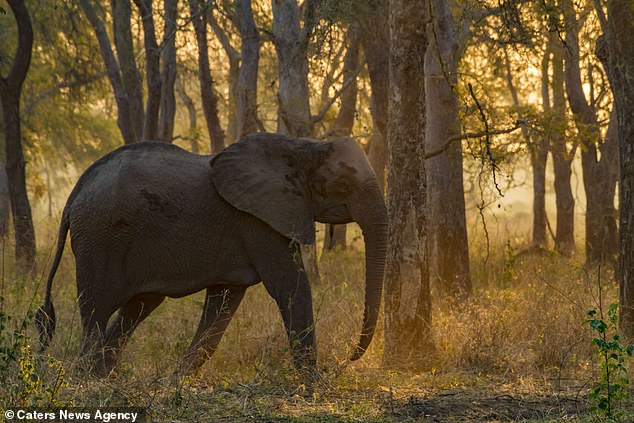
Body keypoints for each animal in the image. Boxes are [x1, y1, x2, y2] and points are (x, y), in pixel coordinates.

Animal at [37, 133, 388, 378]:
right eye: (342, 183)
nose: (348, 359)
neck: (304, 145)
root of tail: (75, 194)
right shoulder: (258, 221)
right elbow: (291, 286)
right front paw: (315, 386)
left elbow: (224, 301)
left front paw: (174, 383)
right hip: (101, 239)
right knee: (97, 309)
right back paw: (86, 380)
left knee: (137, 307)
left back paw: (103, 377)